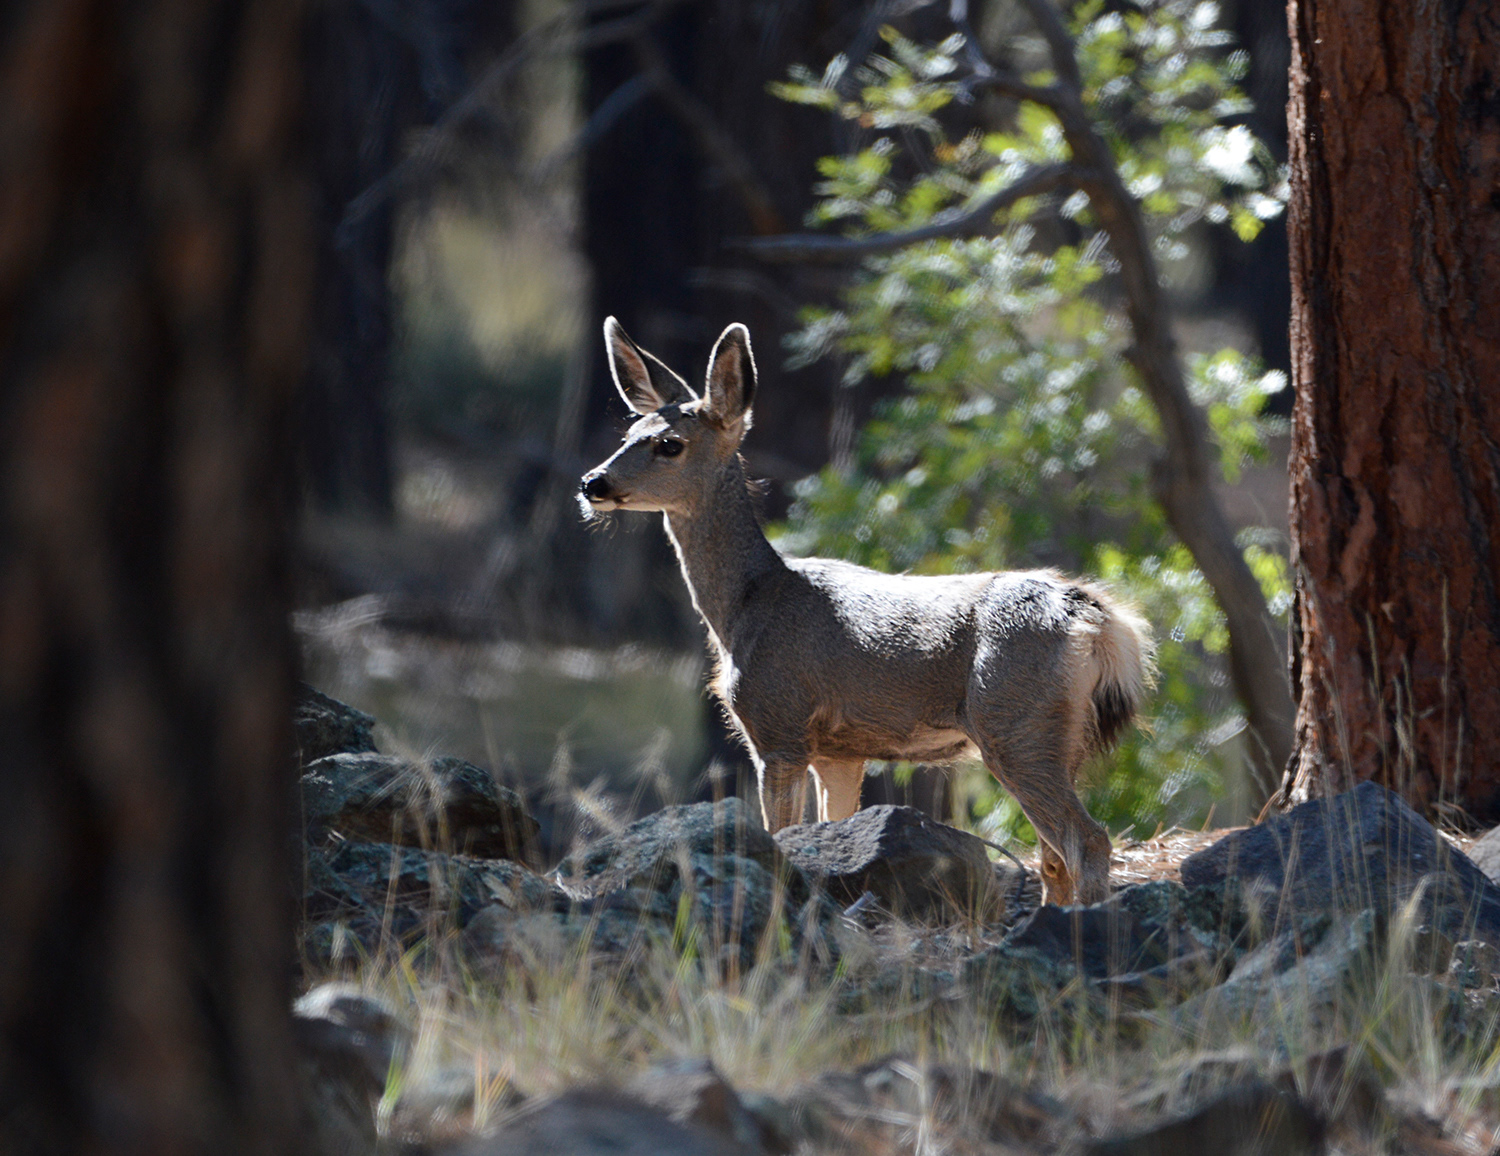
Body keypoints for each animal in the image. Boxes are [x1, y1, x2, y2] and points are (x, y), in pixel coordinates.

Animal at [579, 318, 1155, 905]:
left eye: (669, 445)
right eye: (628, 433)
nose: (592, 484)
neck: (748, 604)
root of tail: (1102, 623)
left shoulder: (779, 725)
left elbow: (781, 836)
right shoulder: (839, 751)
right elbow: (828, 828)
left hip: (1013, 721)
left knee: (1086, 840)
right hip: (1059, 734)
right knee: (1055, 856)